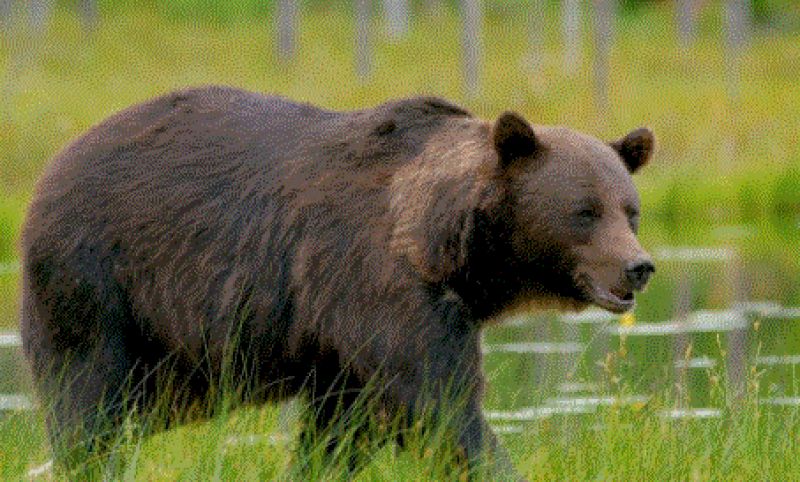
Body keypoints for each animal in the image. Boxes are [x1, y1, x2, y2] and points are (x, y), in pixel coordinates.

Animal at [20, 85, 655, 478]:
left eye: (630, 209)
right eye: (584, 211)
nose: (638, 266)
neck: (447, 249)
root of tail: (53, 164)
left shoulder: (340, 342)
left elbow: (341, 431)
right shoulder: (377, 287)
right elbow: (438, 403)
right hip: (101, 281)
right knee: (88, 398)